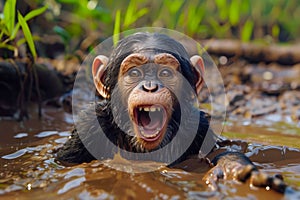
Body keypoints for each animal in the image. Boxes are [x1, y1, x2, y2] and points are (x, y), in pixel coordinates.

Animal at [56, 32, 288, 193]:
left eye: (165, 73)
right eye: (135, 73)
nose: (150, 86)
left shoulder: (200, 128)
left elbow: (217, 152)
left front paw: (238, 171)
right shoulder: (88, 127)